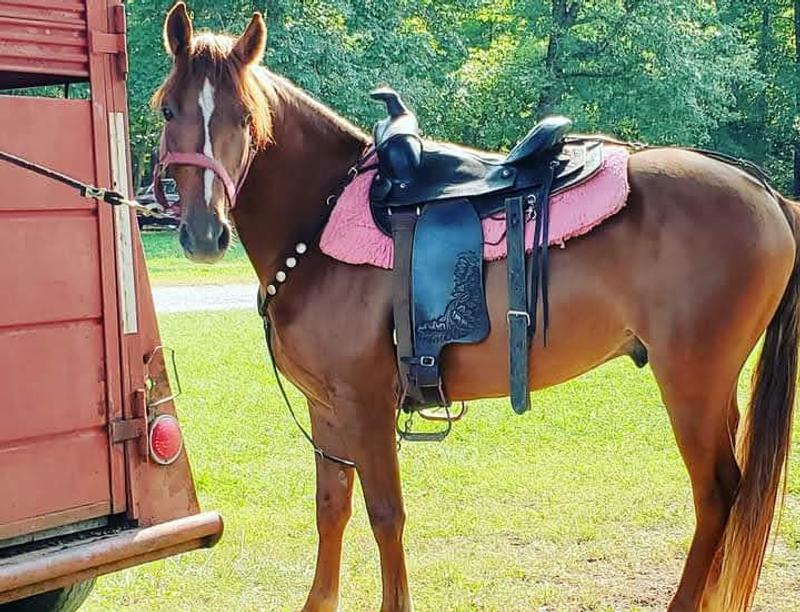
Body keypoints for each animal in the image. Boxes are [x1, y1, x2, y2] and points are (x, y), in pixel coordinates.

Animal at [153, 4, 798, 610]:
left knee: (717, 493)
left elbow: (386, 514)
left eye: (244, 116)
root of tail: (767, 193)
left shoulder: (365, 403)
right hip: (715, 388)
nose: (204, 234)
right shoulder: (327, 407)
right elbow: (331, 507)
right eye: (167, 111)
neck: (322, 216)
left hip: (690, 382)